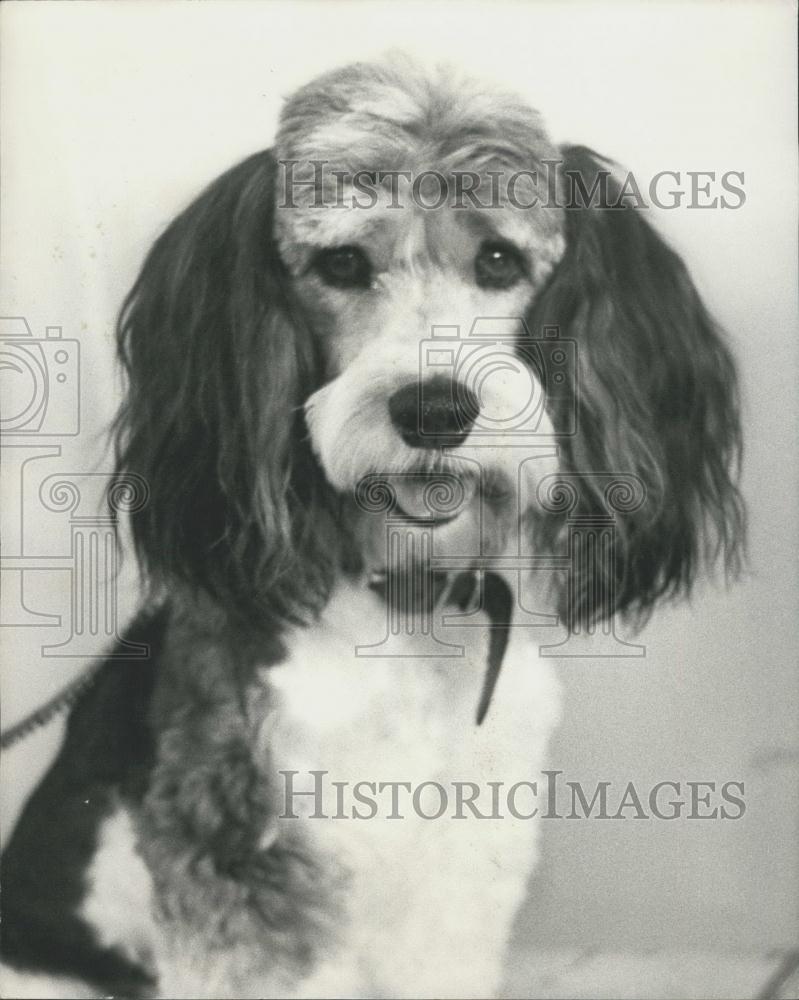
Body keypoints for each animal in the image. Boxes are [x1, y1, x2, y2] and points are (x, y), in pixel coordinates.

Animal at [1, 60, 744, 1000]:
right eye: (342, 262)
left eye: (498, 259)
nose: (434, 411)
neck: (404, 606)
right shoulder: (242, 853)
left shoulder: (462, 858)